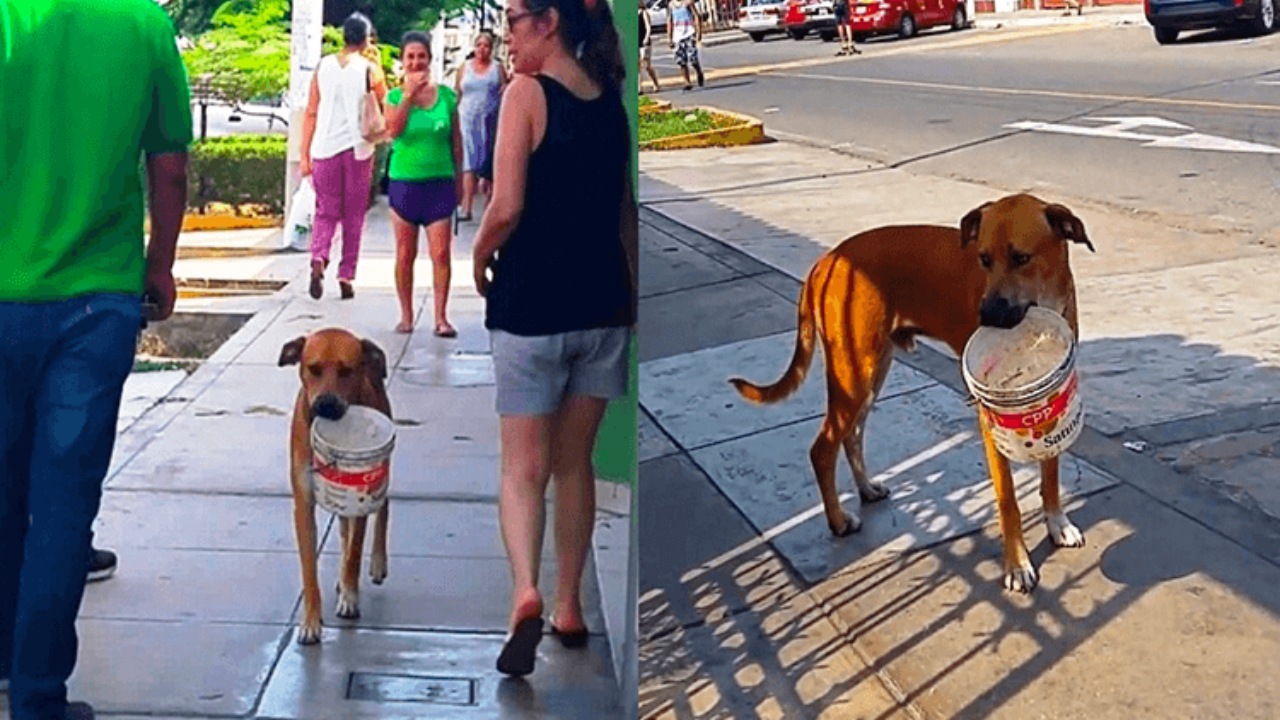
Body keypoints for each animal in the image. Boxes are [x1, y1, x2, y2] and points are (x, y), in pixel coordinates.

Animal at [281, 327, 391, 640]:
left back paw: (377, 562)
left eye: (346, 370)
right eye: (313, 368)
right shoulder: (303, 504)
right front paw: (310, 621)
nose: (326, 404)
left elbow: (355, 550)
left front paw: (350, 597)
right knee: (343, 528)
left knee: (383, 508)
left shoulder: (362, 498)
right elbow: (309, 567)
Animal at [737, 192, 1095, 589]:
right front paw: (1016, 563)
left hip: (872, 372)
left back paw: (866, 489)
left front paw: (1057, 522)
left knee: (852, 435)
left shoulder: (1051, 396)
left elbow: (1051, 475)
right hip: (853, 373)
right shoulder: (990, 421)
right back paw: (838, 520)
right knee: (823, 448)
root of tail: (825, 262)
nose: (985, 315)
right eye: (983, 259)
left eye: (1021, 258)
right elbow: (1008, 501)